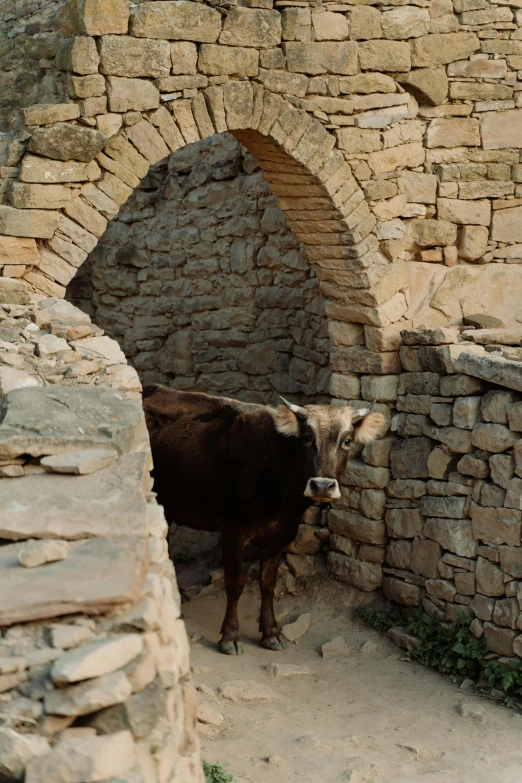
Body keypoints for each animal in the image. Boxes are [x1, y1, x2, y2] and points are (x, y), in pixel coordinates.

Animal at [142, 386, 382, 656]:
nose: (322, 486)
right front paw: (230, 636)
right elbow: (235, 583)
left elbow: (268, 583)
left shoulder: (281, 534)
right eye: (306, 438)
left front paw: (271, 632)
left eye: (347, 441)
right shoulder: (232, 529)